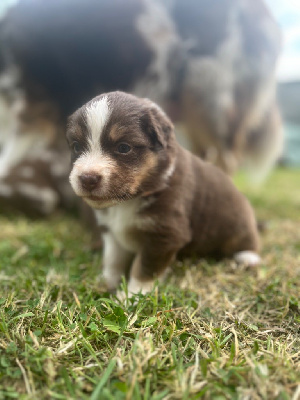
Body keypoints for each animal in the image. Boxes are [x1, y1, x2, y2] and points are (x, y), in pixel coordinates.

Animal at [66, 92, 260, 296]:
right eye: (76, 147)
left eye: (124, 147)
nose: (87, 178)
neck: (128, 202)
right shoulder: (110, 229)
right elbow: (112, 258)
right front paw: (104, 283)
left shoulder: (165, 235)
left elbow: (143, 270)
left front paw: (132, 296)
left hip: (238, 223)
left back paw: (248, 257)